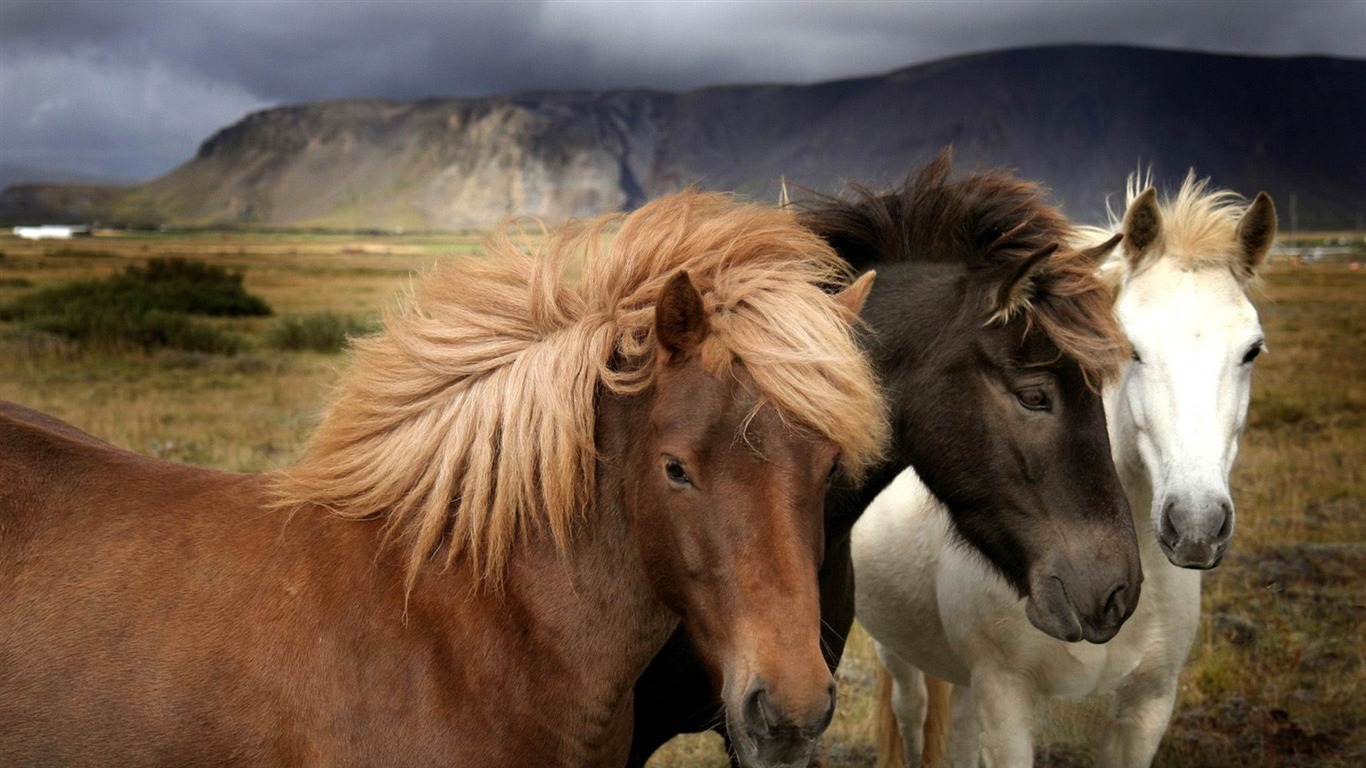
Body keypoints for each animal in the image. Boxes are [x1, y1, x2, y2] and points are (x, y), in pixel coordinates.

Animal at [857, 174, 1276, 767]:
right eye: (1131, 349)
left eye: (1252, 351)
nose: (1196, 524)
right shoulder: (1006, 702)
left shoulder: (1147, 708)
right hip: (896, 651)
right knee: (911, 711)